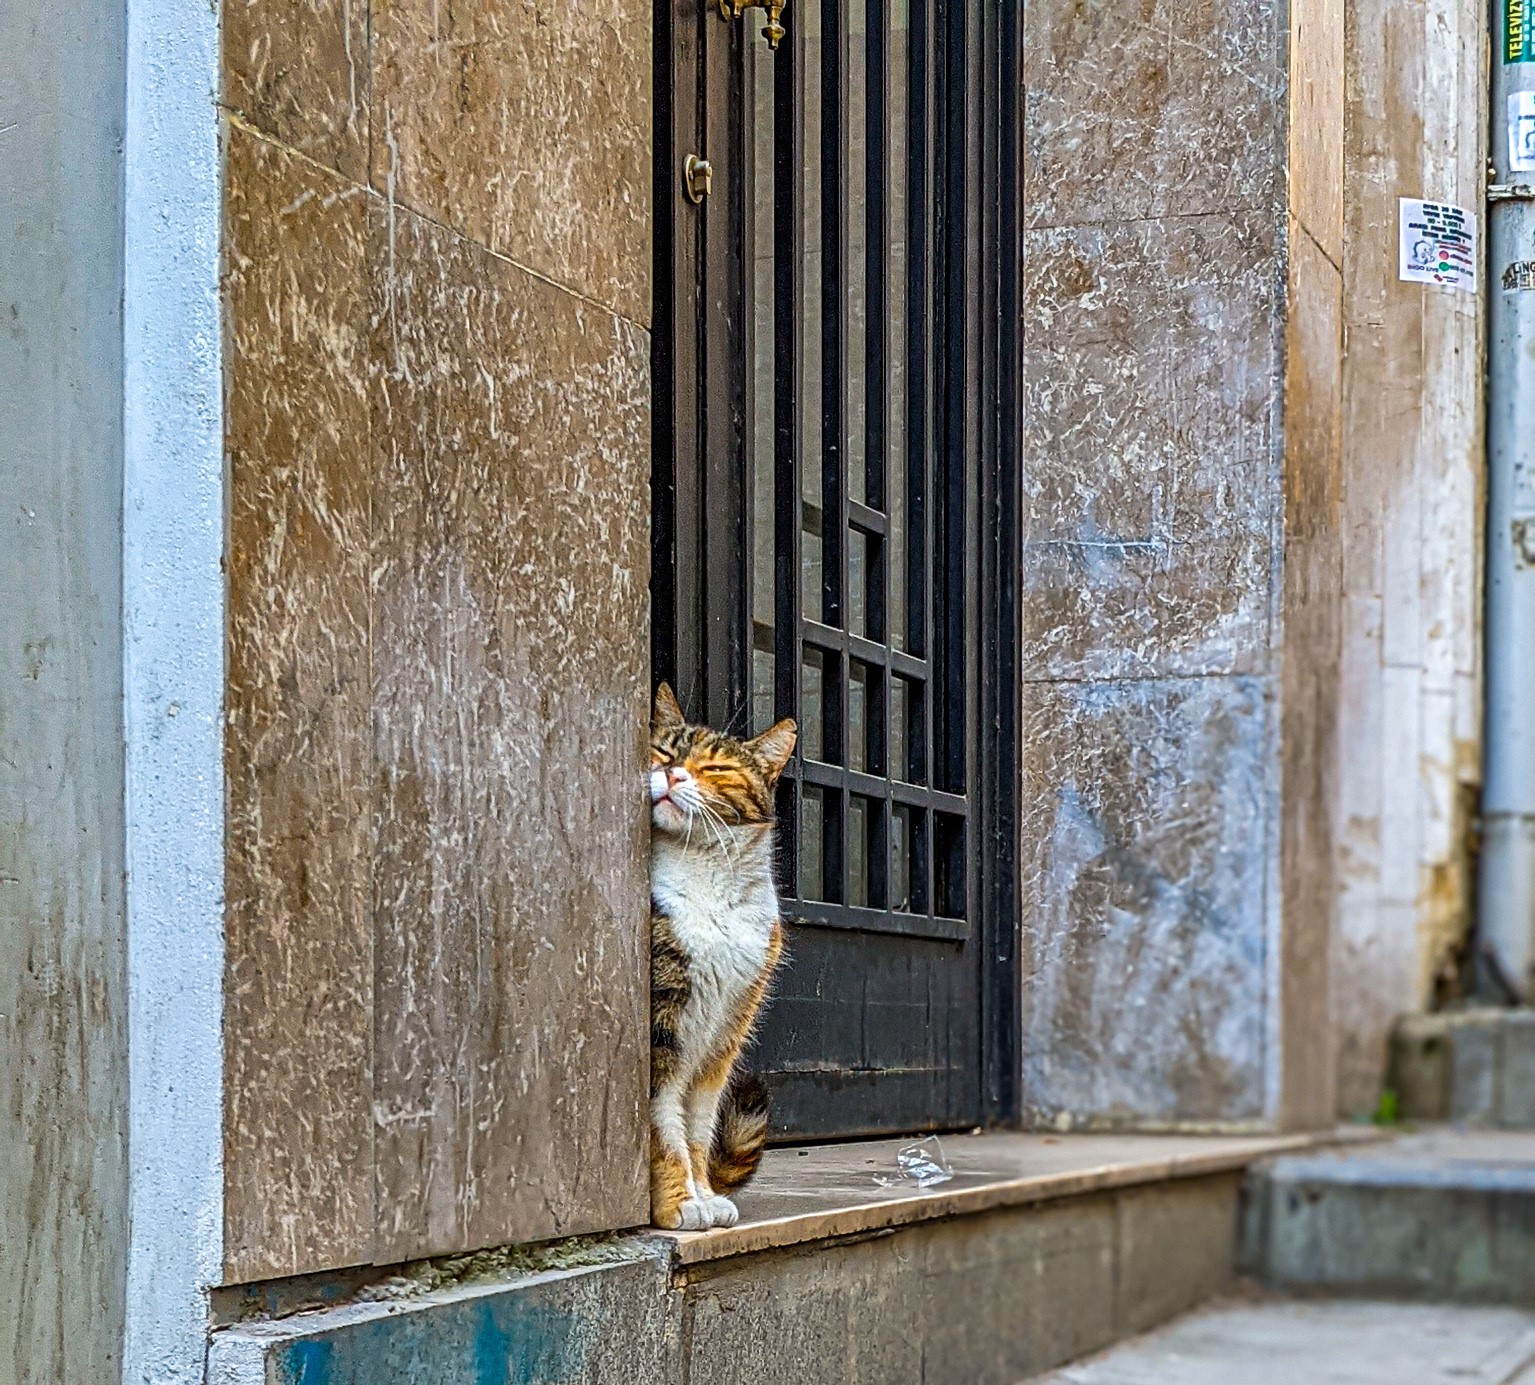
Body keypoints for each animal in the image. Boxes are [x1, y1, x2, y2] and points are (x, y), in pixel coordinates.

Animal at [647, 681, 798, 1234]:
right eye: (663, 752)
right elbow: (663, 1125)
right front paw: (679, 1203)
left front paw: (706, 1194)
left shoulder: (723, 1034)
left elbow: (697, 1123)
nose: (674, 774)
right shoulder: (661, 1028)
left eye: (715, 768)